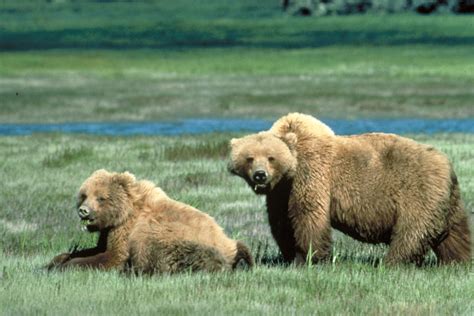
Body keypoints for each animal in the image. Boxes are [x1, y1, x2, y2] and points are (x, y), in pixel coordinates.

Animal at [47, 169, 254, 272]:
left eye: (100, 197)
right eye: (84, 195)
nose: (83, 210)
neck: (123, 213)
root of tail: (230, 244)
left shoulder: (126, 229)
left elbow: (113, 257)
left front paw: (67, 265)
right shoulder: (109, 230)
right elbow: (97, 248)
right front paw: (57, 260)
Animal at [229, 112, 470, 266]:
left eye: (271, 157)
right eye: (249, 158)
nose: (260, 175)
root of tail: (447, 164)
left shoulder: (312, 174)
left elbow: (308, 215)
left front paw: (310, 258)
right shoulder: (280, 192)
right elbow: (282, 222)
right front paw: (290, 255)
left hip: (417, 190)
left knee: (411, 232)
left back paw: (391, 263)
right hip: (447, 200)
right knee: (455, 233)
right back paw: (459, 261)